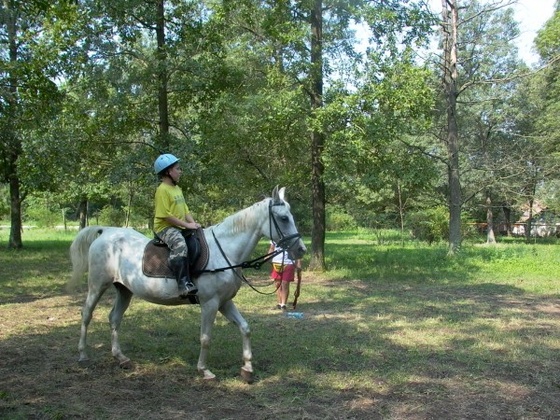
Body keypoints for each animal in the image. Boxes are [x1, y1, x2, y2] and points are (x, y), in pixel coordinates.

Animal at [69, 185, 308, 382]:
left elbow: (245, 328)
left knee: (114, 318)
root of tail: (107, 232)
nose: (301, 250)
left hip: (124, 290)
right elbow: (206, 338)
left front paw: (247, 369)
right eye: (284, 218)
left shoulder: (224, 302)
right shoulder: (210, 303)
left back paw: (121, 358)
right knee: (86, 314)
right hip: (97, 285)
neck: (225, 251)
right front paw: (204, 371)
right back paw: (82, 354)